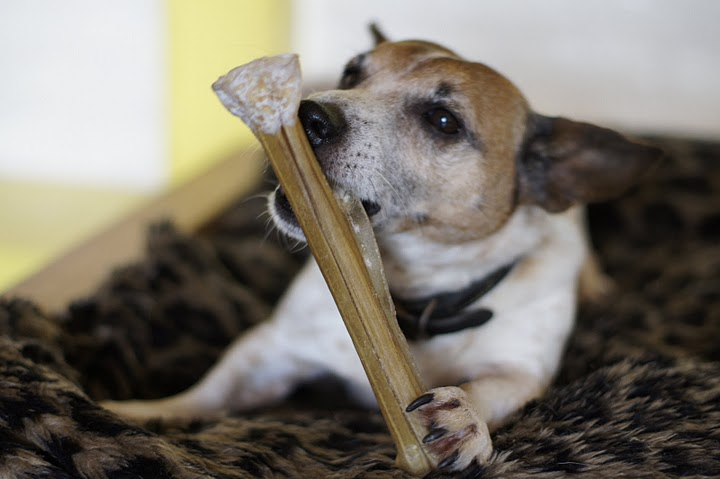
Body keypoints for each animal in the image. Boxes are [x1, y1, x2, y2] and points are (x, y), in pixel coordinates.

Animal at [104, 31, 660, 472]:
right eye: (353, 71)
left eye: (443, 120)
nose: (308, 113)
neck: (408, 292)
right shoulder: (270, 351)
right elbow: (208, 394)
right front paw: (130, 414)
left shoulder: (523, 371)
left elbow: (494, 388)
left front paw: (465, 415)